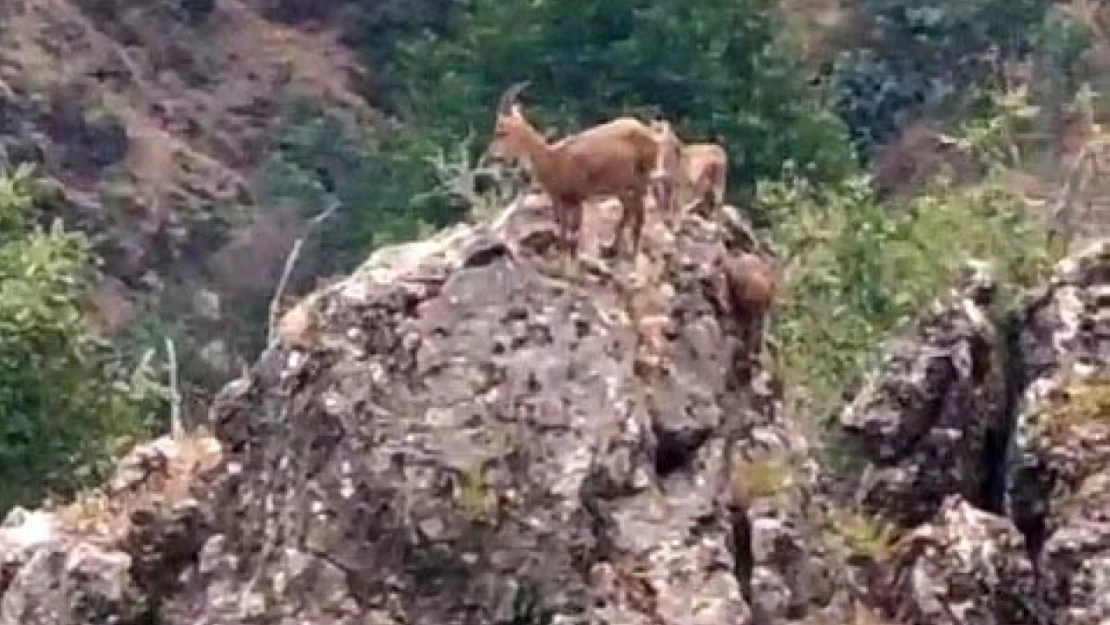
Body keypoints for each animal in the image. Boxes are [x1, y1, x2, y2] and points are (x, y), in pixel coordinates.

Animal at [483, 83, 657, 259]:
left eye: (501, 132)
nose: (492, 156)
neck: (555, 159)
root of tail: (646, 130)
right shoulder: (562, 199)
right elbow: (563, 228)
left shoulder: (576, 197)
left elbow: (574, 229)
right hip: (621, 186)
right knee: (630, 209)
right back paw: (613, 249)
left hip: (641, 178)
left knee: (638, 213)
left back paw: (632, 252)